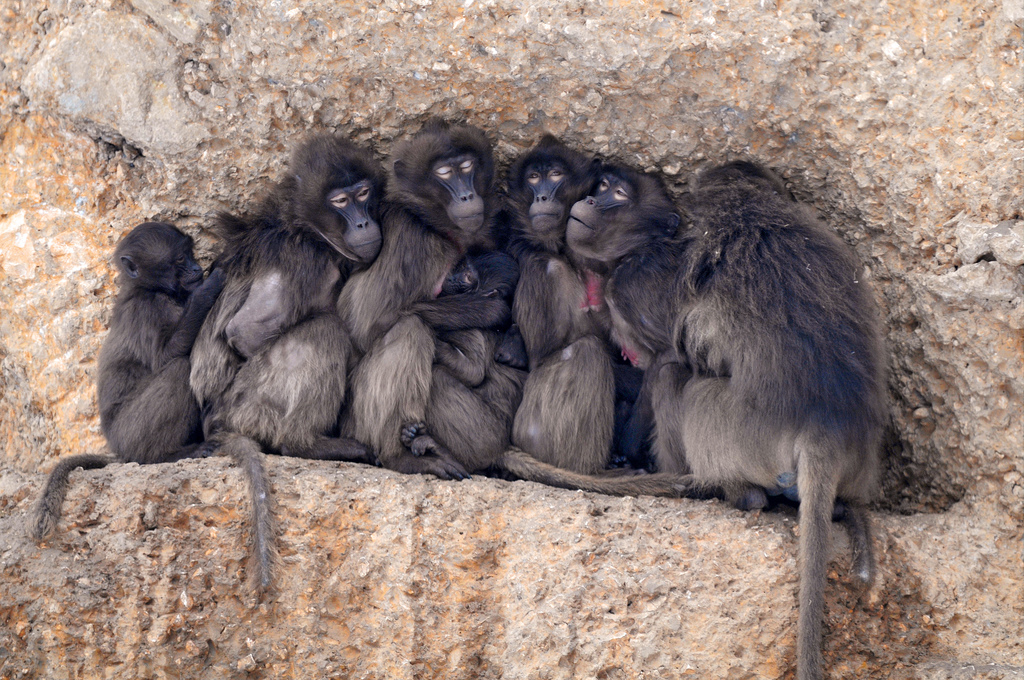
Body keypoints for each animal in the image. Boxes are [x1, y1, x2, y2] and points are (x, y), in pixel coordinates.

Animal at [29, 223, 224, 540]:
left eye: (190, 253)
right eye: (180, 259)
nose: (197, 268)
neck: (145, 288)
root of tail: (117, 448)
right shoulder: (149, 310)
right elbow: (167, 354)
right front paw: (210, 286)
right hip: (131, 432)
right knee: (179, 368)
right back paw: (164, 456)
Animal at [188, 134, 385, 593]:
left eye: (364, 193)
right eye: (341, 201)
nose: (363, 223)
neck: (305, 226)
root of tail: (216, 421)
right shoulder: (307, 258)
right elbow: (245, 331)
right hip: (251, 402)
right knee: (325, 329)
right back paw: (306, 444)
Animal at [598, 160, 884, 680]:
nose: (621, 343)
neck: (750, 209)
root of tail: (825, 424)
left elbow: (679, 353)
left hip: (731, 429)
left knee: (682, 380)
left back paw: (728, 489)